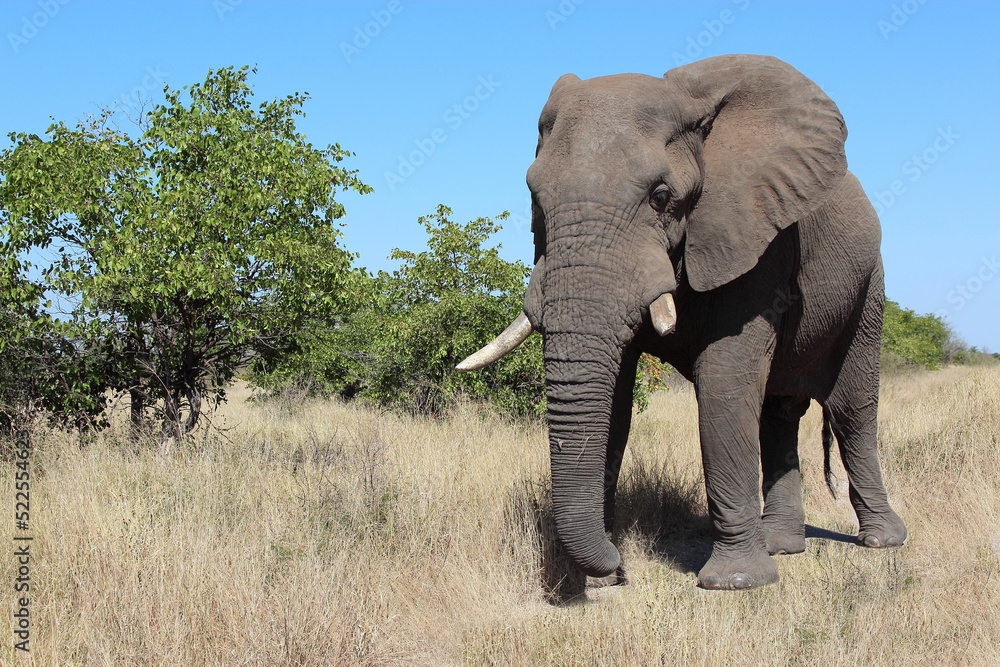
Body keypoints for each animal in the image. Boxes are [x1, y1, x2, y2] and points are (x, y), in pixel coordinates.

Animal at [458, 54, 907, 590]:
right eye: (534, 200)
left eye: (660, 196)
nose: (619, 562)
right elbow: (616, 401)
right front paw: (605, 583)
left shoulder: (755, 236)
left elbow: (725, 383)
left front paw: (735, 583)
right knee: (779, 414)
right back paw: (782, 545)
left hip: (870, 284)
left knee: (851, 410)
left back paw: (881, 541)